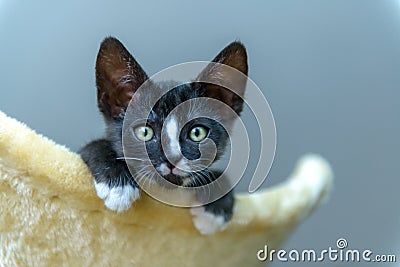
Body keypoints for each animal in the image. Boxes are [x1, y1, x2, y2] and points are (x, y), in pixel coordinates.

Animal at [78, 37, 248, 234]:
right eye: (145, 132)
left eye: (197, 133)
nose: (171, 158)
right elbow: (95, 145)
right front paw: (118, 185)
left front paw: (215, 208)